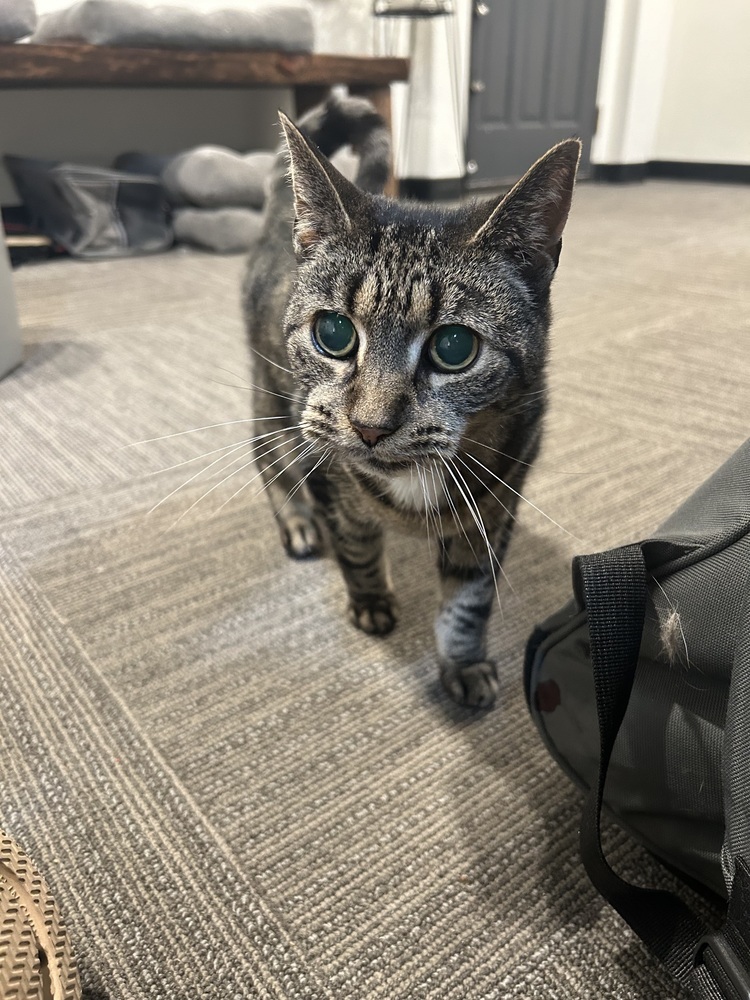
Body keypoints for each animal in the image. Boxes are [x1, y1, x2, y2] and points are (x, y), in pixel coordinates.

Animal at [247, 92, 580, 704]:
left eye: (454, 347)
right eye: (334, 333)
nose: (370, 426)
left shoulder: (494, 512)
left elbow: (469, 601)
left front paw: (461, 661)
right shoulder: (325, 468)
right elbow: (355, 544)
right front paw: (371, 601)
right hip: (272, 398)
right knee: (265, 455)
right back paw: (297, 521)